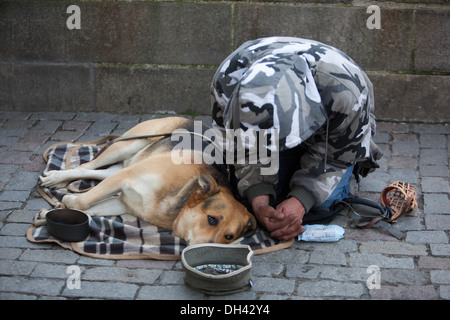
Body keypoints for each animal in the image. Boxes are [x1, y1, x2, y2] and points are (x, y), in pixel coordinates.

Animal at [39, 116, 256, 244]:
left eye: (229, 237)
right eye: (211, 219)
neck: (181, 199)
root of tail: (188, 119)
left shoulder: (122, 202)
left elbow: (89, 210)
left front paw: (51, 212)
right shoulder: (124, 178)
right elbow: (82, 202)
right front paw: (67, 201)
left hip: (122, 165)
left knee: (92, 172)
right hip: (127, 146)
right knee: (87, 166)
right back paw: (57, 178)